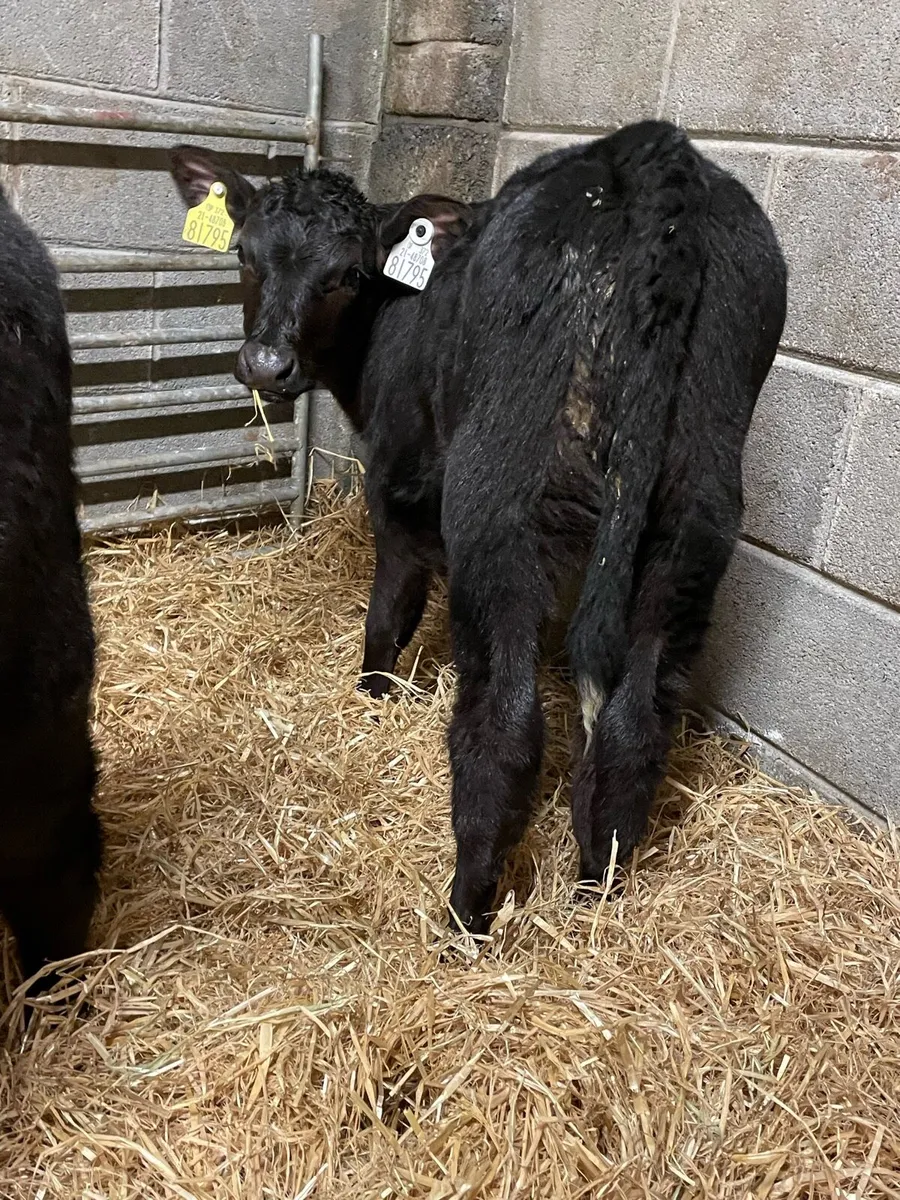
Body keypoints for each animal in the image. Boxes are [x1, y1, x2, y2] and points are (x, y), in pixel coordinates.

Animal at [170, 120, 787, 936]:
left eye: (348, 274)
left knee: (505, 723)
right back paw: (596, 898)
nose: (267, 365)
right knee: (633, 726)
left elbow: (389, 615)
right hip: (696, 518)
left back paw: (465, 917)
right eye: (244, 254)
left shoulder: (398, 490)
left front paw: (372, 698)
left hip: (496, 502)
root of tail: (657, 156)